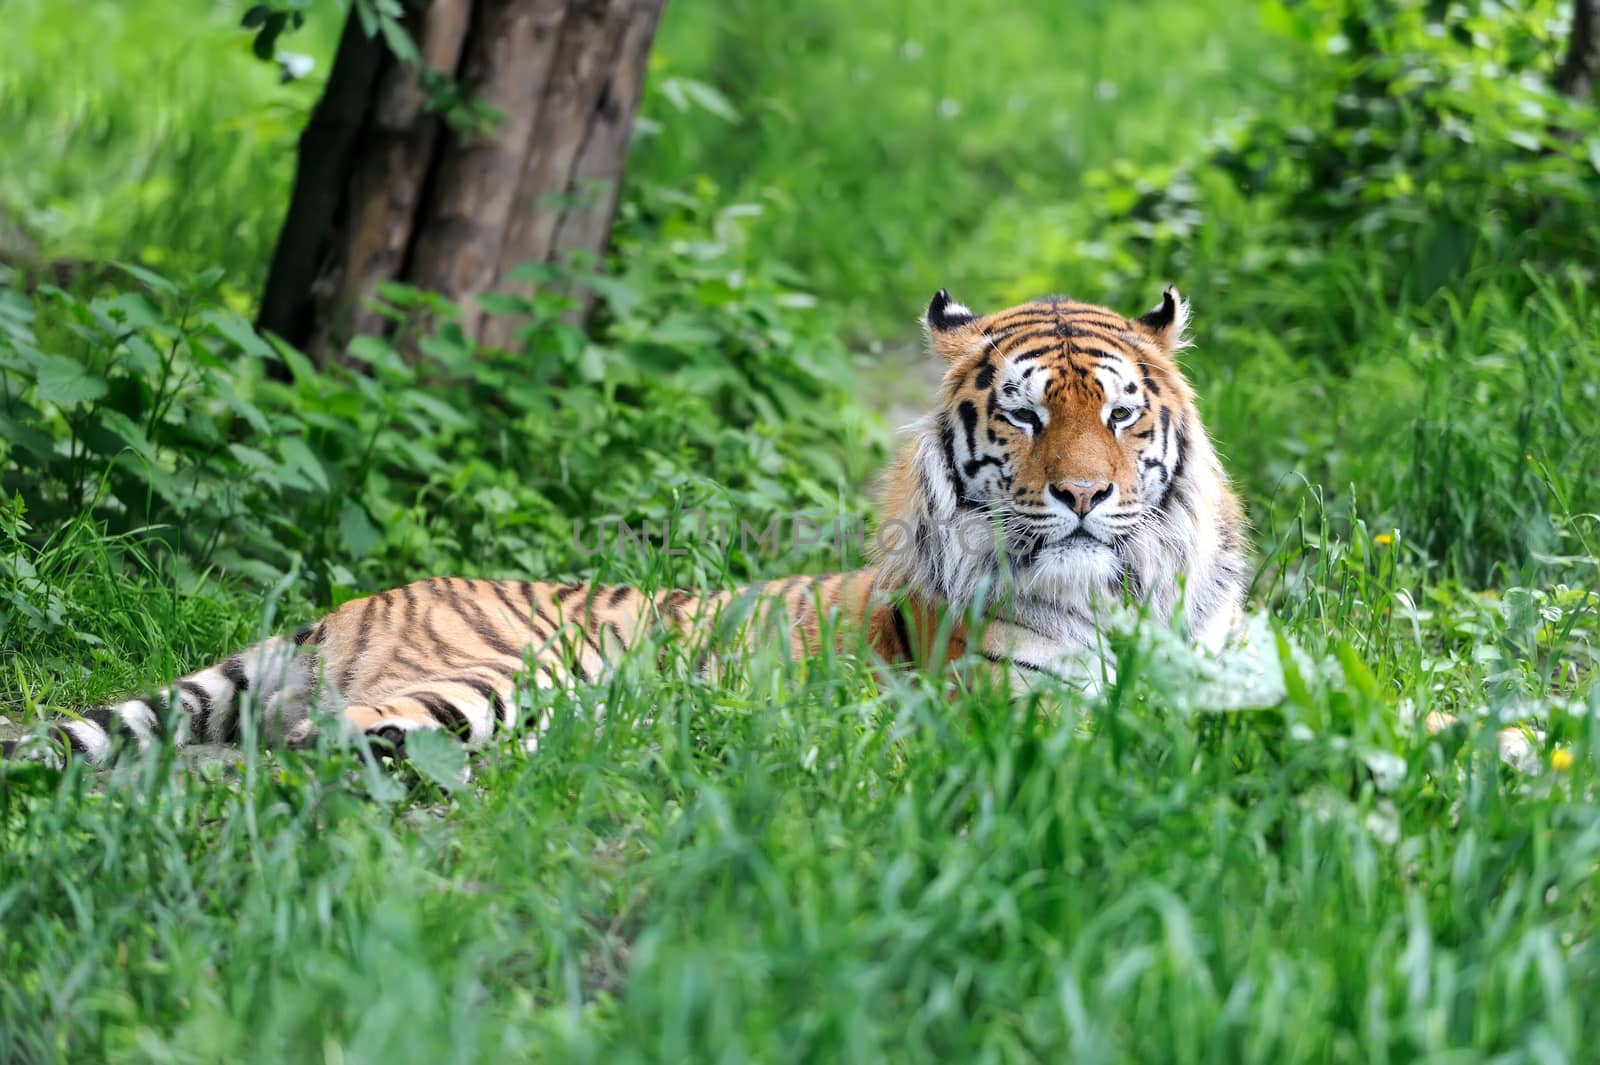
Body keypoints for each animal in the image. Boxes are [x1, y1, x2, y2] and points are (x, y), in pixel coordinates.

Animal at [3, 284, 1248, 764]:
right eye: (1026, 416)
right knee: (326, 742)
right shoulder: (1021, 714)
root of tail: (354, 601)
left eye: (1120, 416)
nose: (1083, 496)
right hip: (503, 675)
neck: (1129, 593)